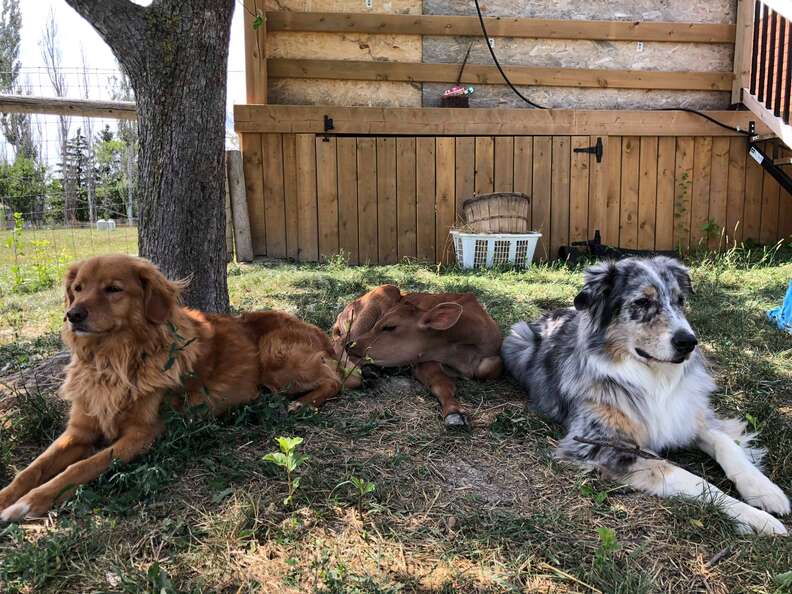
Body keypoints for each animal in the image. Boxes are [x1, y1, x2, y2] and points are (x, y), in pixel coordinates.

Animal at [0, 252, 356, 520]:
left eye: (113, 289)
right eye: (77, 288)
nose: (72, 315)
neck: (114, 360)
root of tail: (320, 333)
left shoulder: (142, 435)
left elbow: (81, 467)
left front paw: (28, 503)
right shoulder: (80, 430)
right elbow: (31, 469)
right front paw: (8, 497)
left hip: (275, 357)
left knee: (339, 379)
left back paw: (303, 402)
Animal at [332, 284, 504, 426]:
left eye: (389, 327)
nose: (352, 345)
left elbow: (491, 367)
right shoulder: (422, 360)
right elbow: (441, 381)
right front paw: (454, 412)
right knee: (338, 344)